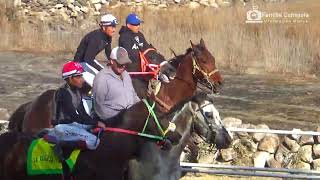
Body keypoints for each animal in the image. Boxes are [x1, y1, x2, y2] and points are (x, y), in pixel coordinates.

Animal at [0, 39, 224, 179]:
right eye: (204, 60)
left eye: (213, 57)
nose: (219, 83)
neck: (165, 95)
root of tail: (30, 105)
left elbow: (193, 150)